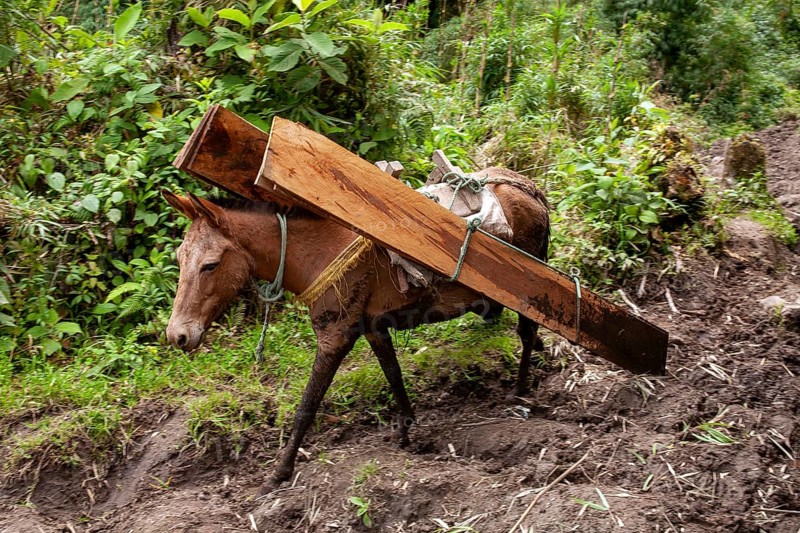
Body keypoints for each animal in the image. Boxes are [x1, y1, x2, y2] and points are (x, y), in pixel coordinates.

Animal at [163, 167, 550, 493]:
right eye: (180, 259)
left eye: (210, 265)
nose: (177, 335)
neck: (316, 252)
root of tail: (529, 189)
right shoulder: (373, 328)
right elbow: (393, 376)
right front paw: (407, 431)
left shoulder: (334, 338)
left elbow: (306, 407)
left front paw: (280, 473)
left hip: (530, 294)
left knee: (527, 333)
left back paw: (518, 392)